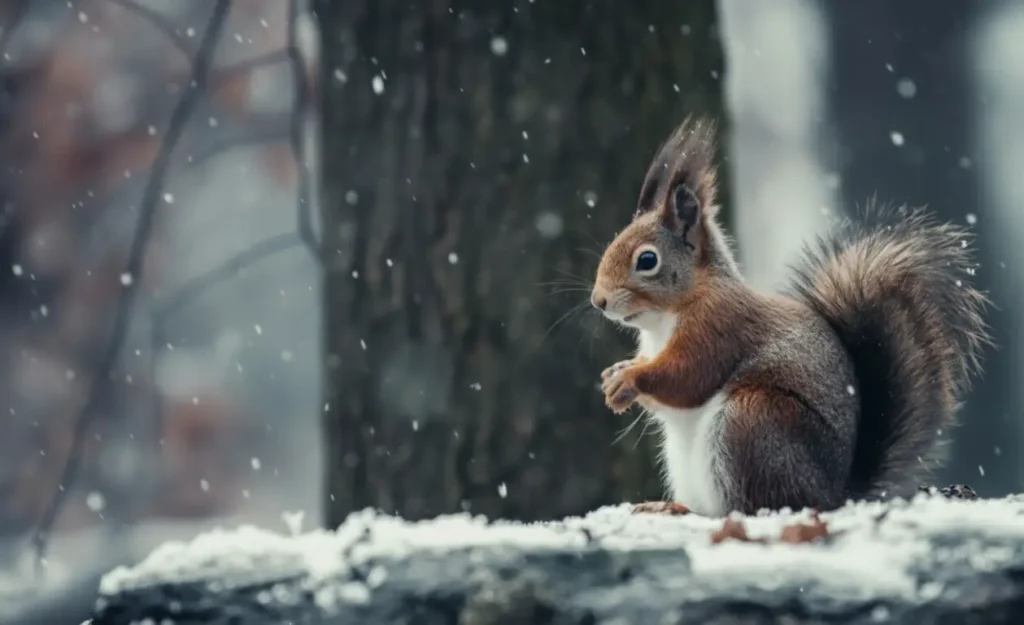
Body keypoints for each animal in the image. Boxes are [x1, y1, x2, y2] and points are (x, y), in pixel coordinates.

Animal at [591, 116, 990, 517]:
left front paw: (630, 379)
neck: (665, 317)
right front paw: (615, 373)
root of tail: (833, 495)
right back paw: (669, 506)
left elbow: (687, 376)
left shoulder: (720, 325)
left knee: (753, 505)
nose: (598, 301)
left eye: (647, 260)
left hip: (751, 421)